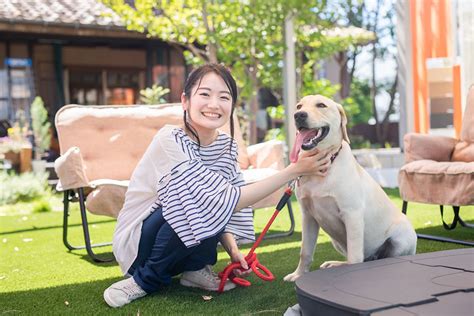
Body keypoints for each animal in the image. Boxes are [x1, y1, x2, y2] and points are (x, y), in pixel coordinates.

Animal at [284, 94, 416, 282]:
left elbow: (355, 256)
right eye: (299, 106)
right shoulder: (308, 217)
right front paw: (299, 274)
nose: (298, 115)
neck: (324, 167)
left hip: (401, 237)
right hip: (336, 241)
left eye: (321, 105)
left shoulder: (352, 214)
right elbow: (305, 252)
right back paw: (335, 264)